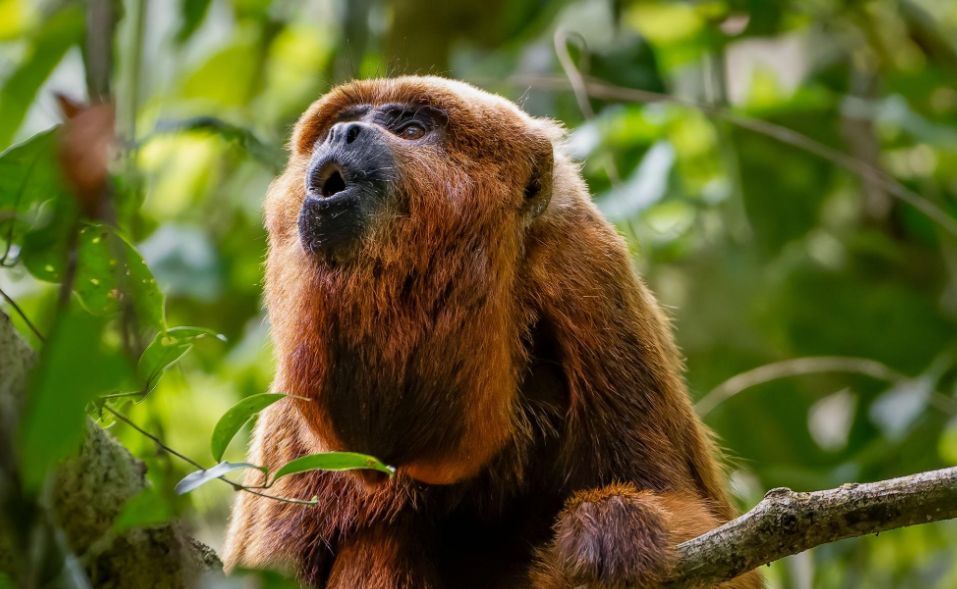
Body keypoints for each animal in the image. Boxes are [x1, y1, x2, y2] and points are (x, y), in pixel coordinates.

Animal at [223, 76, 762, 589]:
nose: (342, 133)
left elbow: (696, 524)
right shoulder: (292, 423)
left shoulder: (591, 275)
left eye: (412, 130)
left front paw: (615, 532)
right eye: (337, 127)